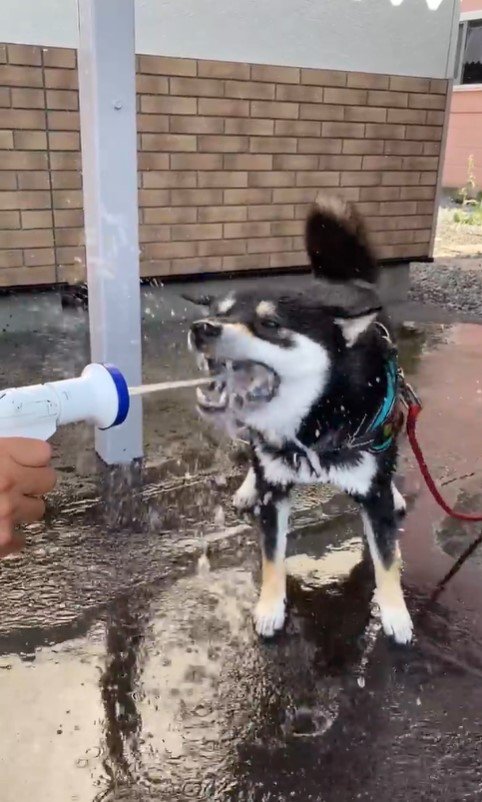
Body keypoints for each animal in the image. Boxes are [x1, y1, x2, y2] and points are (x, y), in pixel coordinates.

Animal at [186, 194, 412, 644]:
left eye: (270, 324)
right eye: (221, 313)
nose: (202, 328)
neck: (315, 423)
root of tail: (339, 281)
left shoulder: (372, 495)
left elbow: (386, 558)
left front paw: (395, 612)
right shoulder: (275, 494)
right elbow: (272, 556)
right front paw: (271, 607)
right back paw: (248, 486)